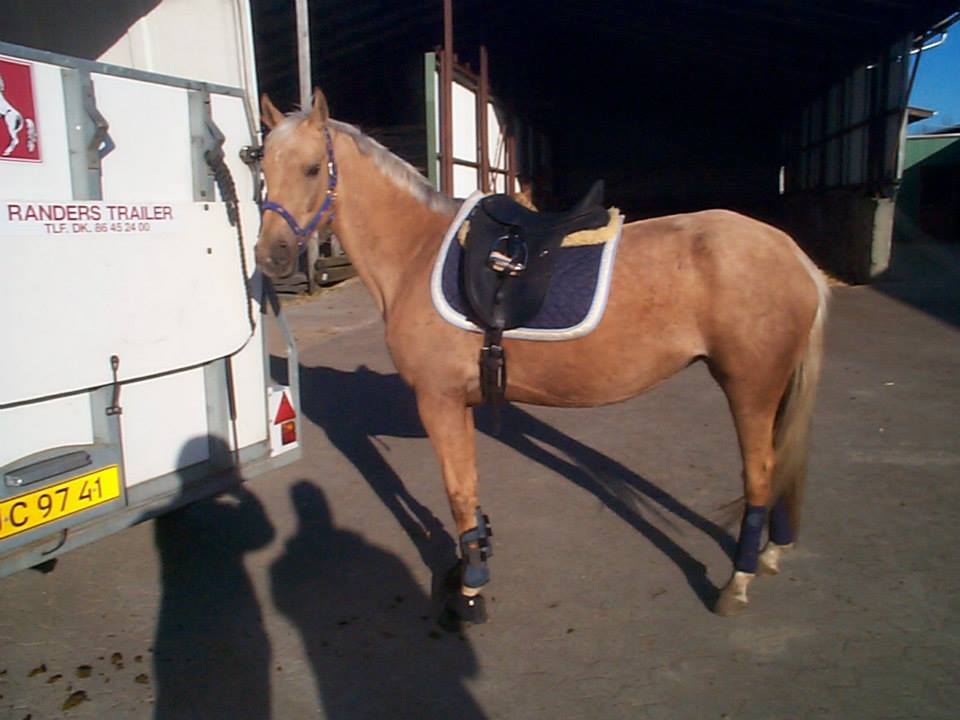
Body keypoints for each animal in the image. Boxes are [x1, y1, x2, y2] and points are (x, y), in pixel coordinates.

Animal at [254, 89, 828, 620]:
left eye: (312, 168)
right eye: (261, 167)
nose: (271, 255)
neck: (416, 252)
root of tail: (795, 255)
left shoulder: (438, 401)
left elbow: (457, 492)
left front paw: (471, 588)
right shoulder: (457, 404)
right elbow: (468, 490)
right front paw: (472, 564)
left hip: (749, 388)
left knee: (761, 471)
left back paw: (738, 582)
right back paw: (772, 553)